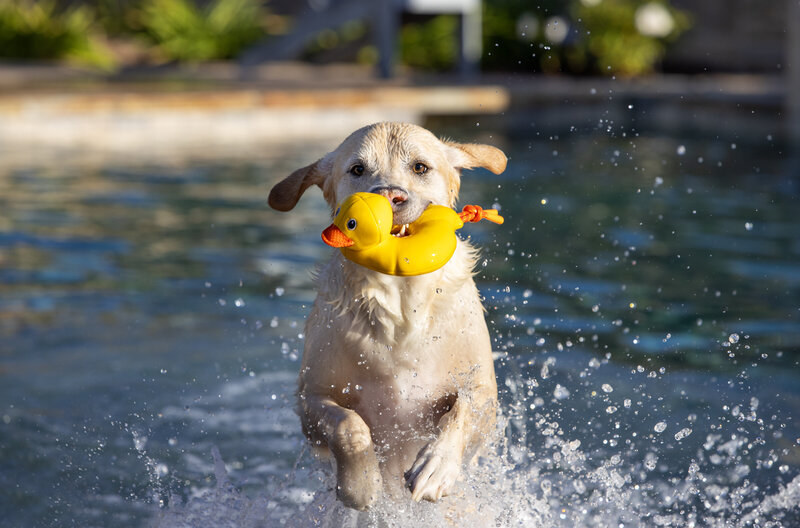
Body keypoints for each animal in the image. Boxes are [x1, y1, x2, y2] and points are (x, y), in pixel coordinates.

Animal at [268, 121, 506, 510]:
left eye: (420, 167)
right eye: (358, 169)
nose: (391, 196)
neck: (401, 304)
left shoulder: (485, 391)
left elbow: (463, 410)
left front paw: (435, 468)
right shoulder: (311, 399)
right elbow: (348, 425)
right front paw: (361, 483)